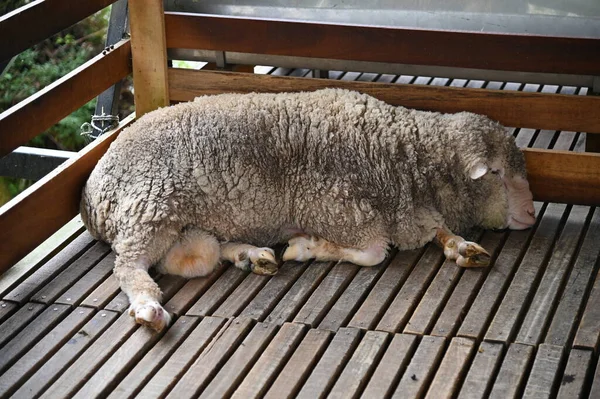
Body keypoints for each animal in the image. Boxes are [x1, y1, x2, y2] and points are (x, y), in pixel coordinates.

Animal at [78, 88, 536, 332]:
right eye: (497, 172)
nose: (532, 215)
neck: (404, 159)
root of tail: (90, 193)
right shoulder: (337, 207)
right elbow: (373, 253)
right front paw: (307, 247)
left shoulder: (407, 212)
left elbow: (438, 231)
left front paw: (461, 246)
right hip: (147, 209)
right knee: (129, 267)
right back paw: (147, 307)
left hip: (182, 227)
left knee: (195, 256)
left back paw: (250, 255)